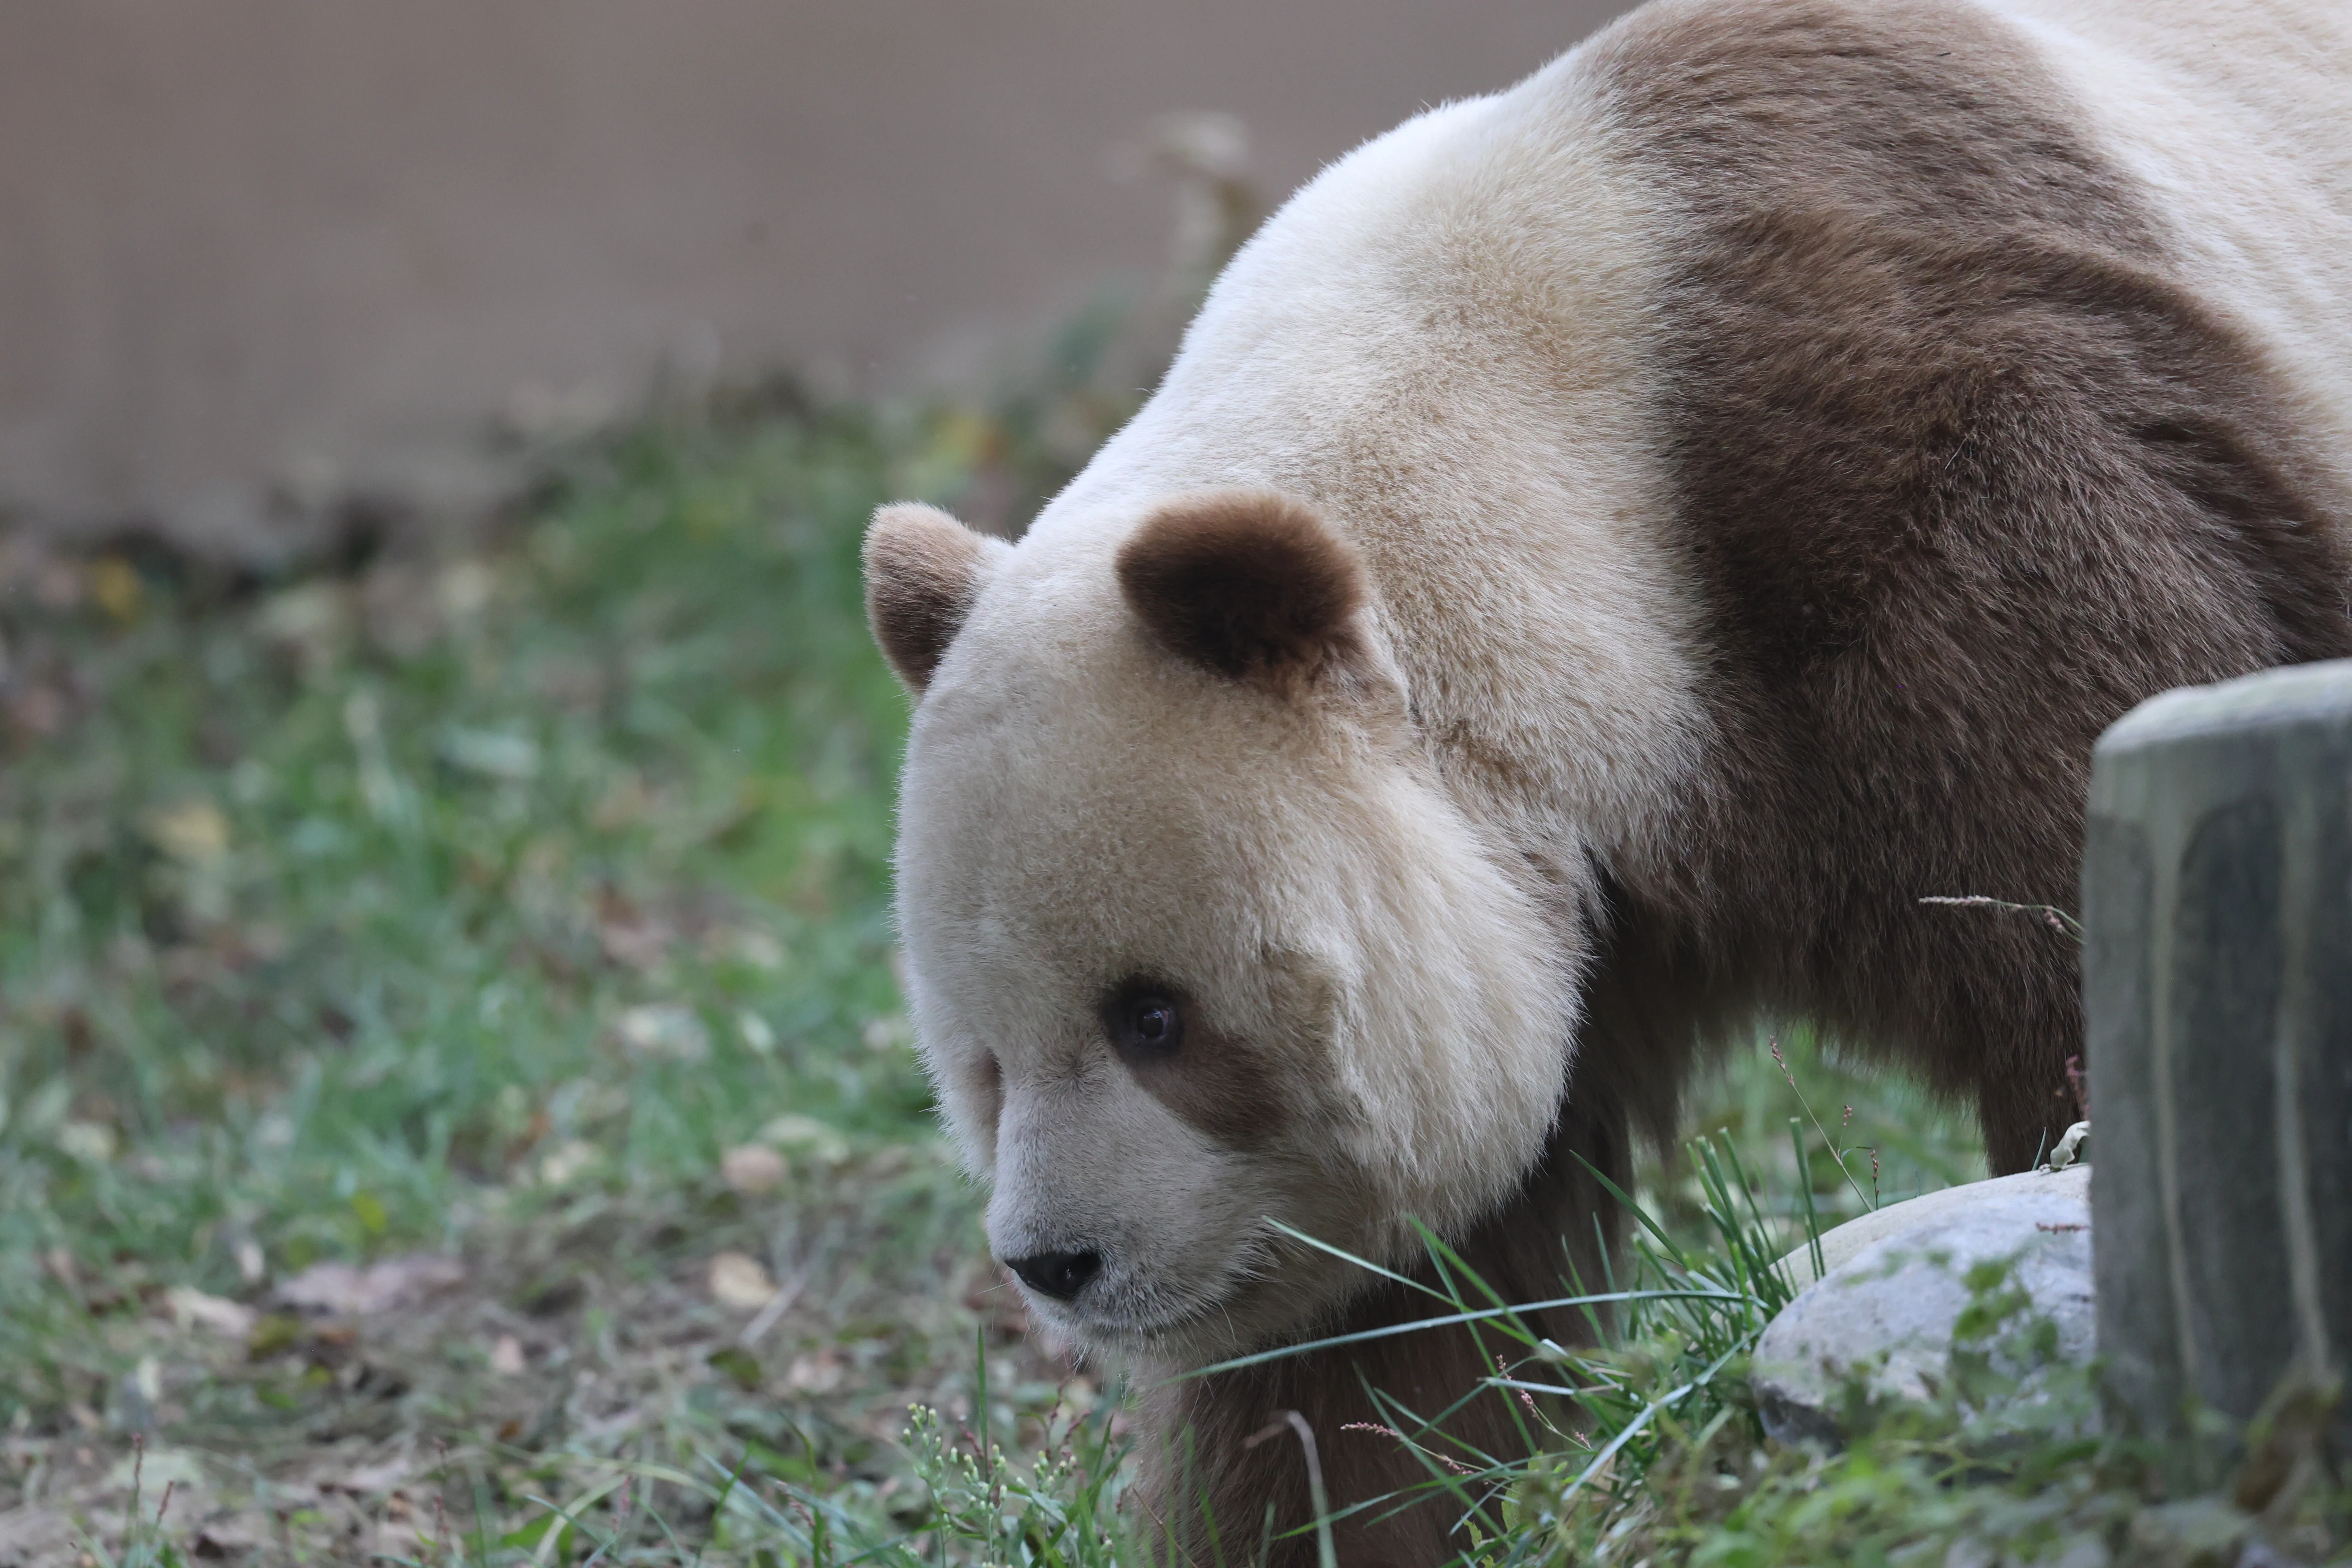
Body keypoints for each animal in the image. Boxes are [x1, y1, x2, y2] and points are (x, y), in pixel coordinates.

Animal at [862, 0, 2352, 1560]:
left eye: (1154, 1015)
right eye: (982, 1059)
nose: (1056, 1260)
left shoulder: (1951, 478)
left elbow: (2062, 931)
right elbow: (1383, 1345)